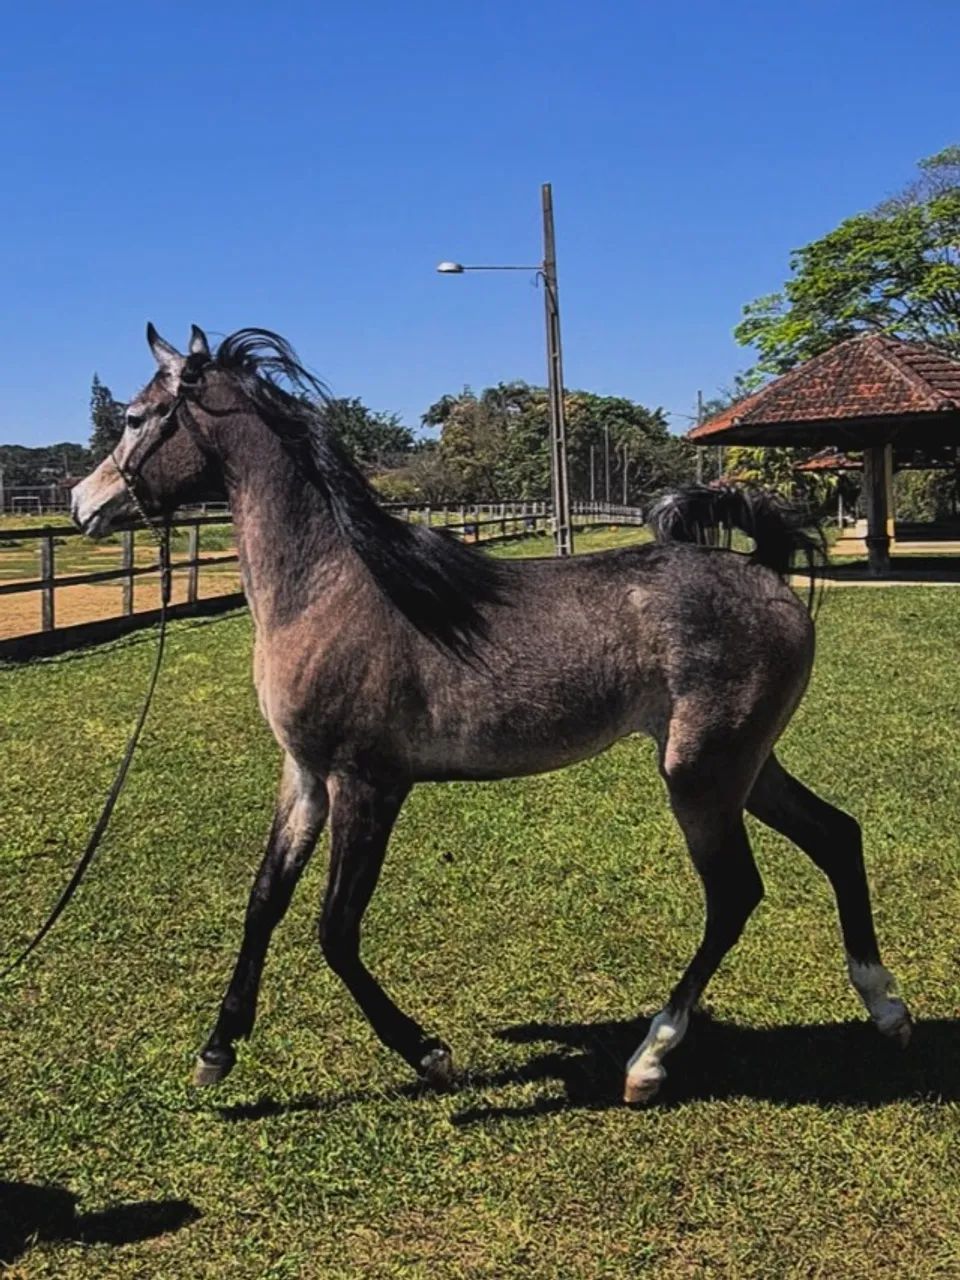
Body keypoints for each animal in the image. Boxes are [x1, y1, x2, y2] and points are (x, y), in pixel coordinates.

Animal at [70, 324, 911, 1104]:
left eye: (138, 418)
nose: (83, 503)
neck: (330, 586)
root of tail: (765, 571)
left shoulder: (368, 785)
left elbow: (335, 930)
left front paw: (428, 1053)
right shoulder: (305, 777)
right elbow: (264, 903)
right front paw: (217, 1049)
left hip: (701, 776)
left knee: (735, 895)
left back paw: (650, 1059)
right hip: (746, 766)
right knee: (837, 836)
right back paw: (886, 1007)